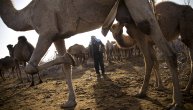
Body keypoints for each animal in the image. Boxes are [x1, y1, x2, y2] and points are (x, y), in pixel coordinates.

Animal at [0, 0, 182, 108]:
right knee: (148, 57)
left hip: (139, 8)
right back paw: (142, 92)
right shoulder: (58, 35)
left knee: (169, 53)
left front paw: (70, 58)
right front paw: (70, 101)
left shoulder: (47, 32)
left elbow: (30, 67)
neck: (28, 14)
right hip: (131, 19)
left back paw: (176, 102)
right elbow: (65, 67)